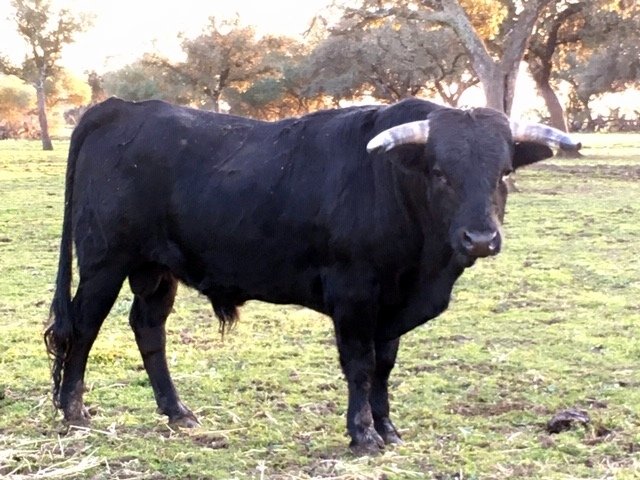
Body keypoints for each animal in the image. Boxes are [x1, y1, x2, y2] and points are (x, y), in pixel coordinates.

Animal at [45, 97, 580, 453]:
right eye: (439, 173)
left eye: (504, 172)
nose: (480, 239)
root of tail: (123, 106)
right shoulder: (354, 295)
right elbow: (360, 365)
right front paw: (363, 435)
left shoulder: (391, 305)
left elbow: (384, 365)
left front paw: (387, 428)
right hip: (104, 263)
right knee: (84, 328)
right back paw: (73, 410)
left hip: (156, 270)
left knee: (148, 328)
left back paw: (177, 412)